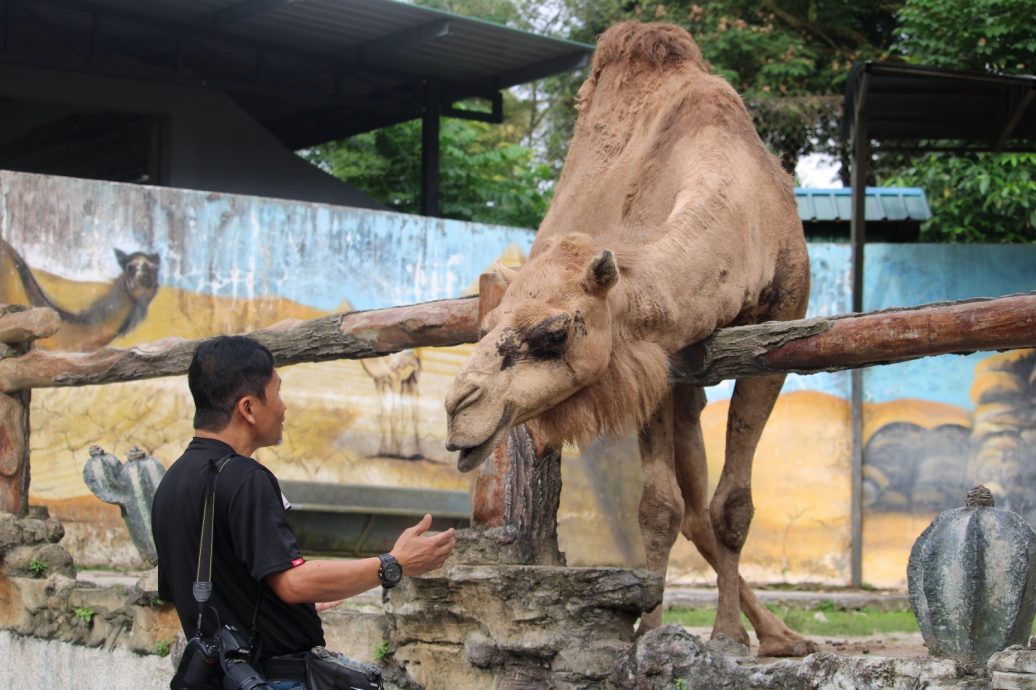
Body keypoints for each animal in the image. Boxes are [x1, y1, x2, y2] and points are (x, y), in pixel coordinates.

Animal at [445, 22, 816, 654]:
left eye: (554, 332)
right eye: (487, 328)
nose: (458, 406)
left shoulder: (781, 329)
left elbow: (733, 507)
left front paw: (725, 637)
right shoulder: (658, 355)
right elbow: (659, 508)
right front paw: (652, 631)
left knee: (704, 506)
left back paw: (782, 635)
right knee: (689, 508)